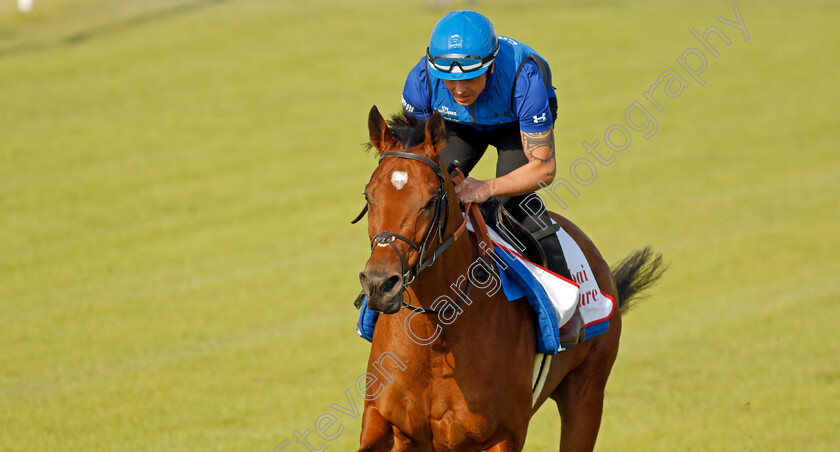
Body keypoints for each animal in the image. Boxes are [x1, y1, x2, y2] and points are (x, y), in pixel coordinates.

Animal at [352, 104, 664, 450]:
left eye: (431, 200)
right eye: (368, 197)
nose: (380, 283)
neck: (436, 334)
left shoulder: (500, 434)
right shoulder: (386, 425)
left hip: (586, 394)